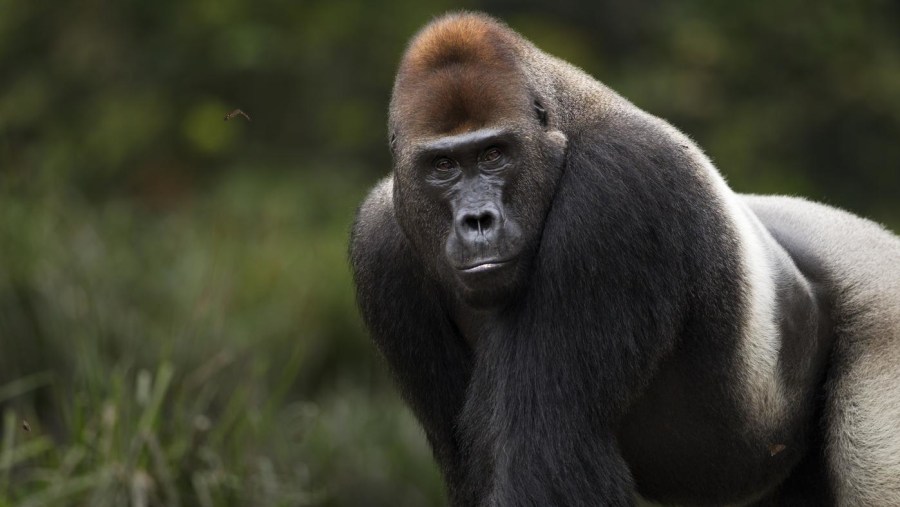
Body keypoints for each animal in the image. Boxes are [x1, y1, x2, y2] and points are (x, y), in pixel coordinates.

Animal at [350, 11, 900, 507]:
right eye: (442, 166)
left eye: (493, 155)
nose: (477, 220)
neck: (564, 121)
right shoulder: (380, 245)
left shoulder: (615, 191)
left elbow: (548, 458)